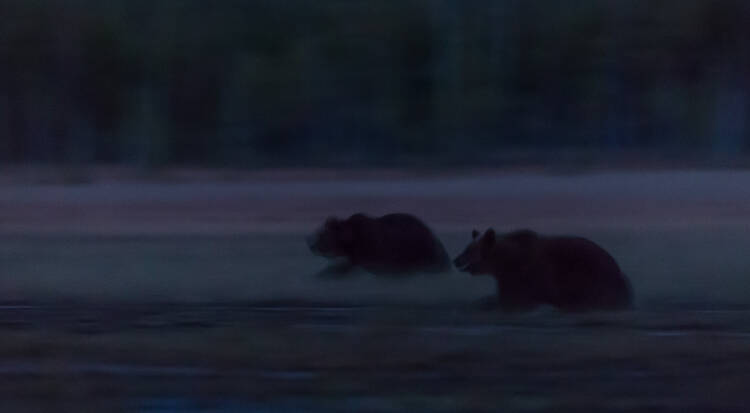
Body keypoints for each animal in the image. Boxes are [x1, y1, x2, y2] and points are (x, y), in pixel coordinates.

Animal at [454, 228, 633, 312]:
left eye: (468, 250)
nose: (456, 259)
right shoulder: (508, 278)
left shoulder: (529, 274)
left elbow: (518, 300)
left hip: (594, 281)